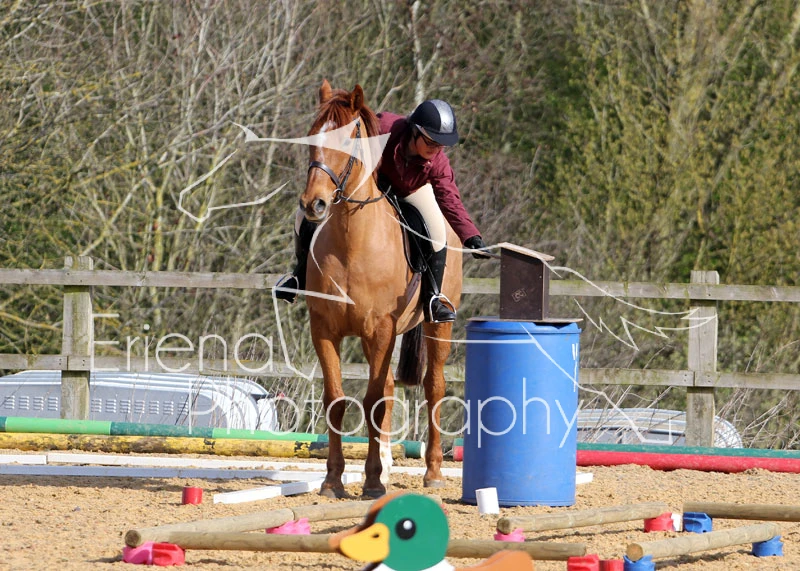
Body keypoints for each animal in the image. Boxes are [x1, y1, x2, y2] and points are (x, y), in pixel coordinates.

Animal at [298, 80, 463, 498]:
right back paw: (388, 467)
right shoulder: (324, 329)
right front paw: (333, 481)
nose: (313, 204)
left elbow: (373, 400)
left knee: (433, 386)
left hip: (438, 325)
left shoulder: (380, 329)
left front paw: (371, 481)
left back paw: (432, 472)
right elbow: (336, 399)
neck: (352, 239)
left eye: (348, 141)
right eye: (312, 137)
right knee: (387, 385)